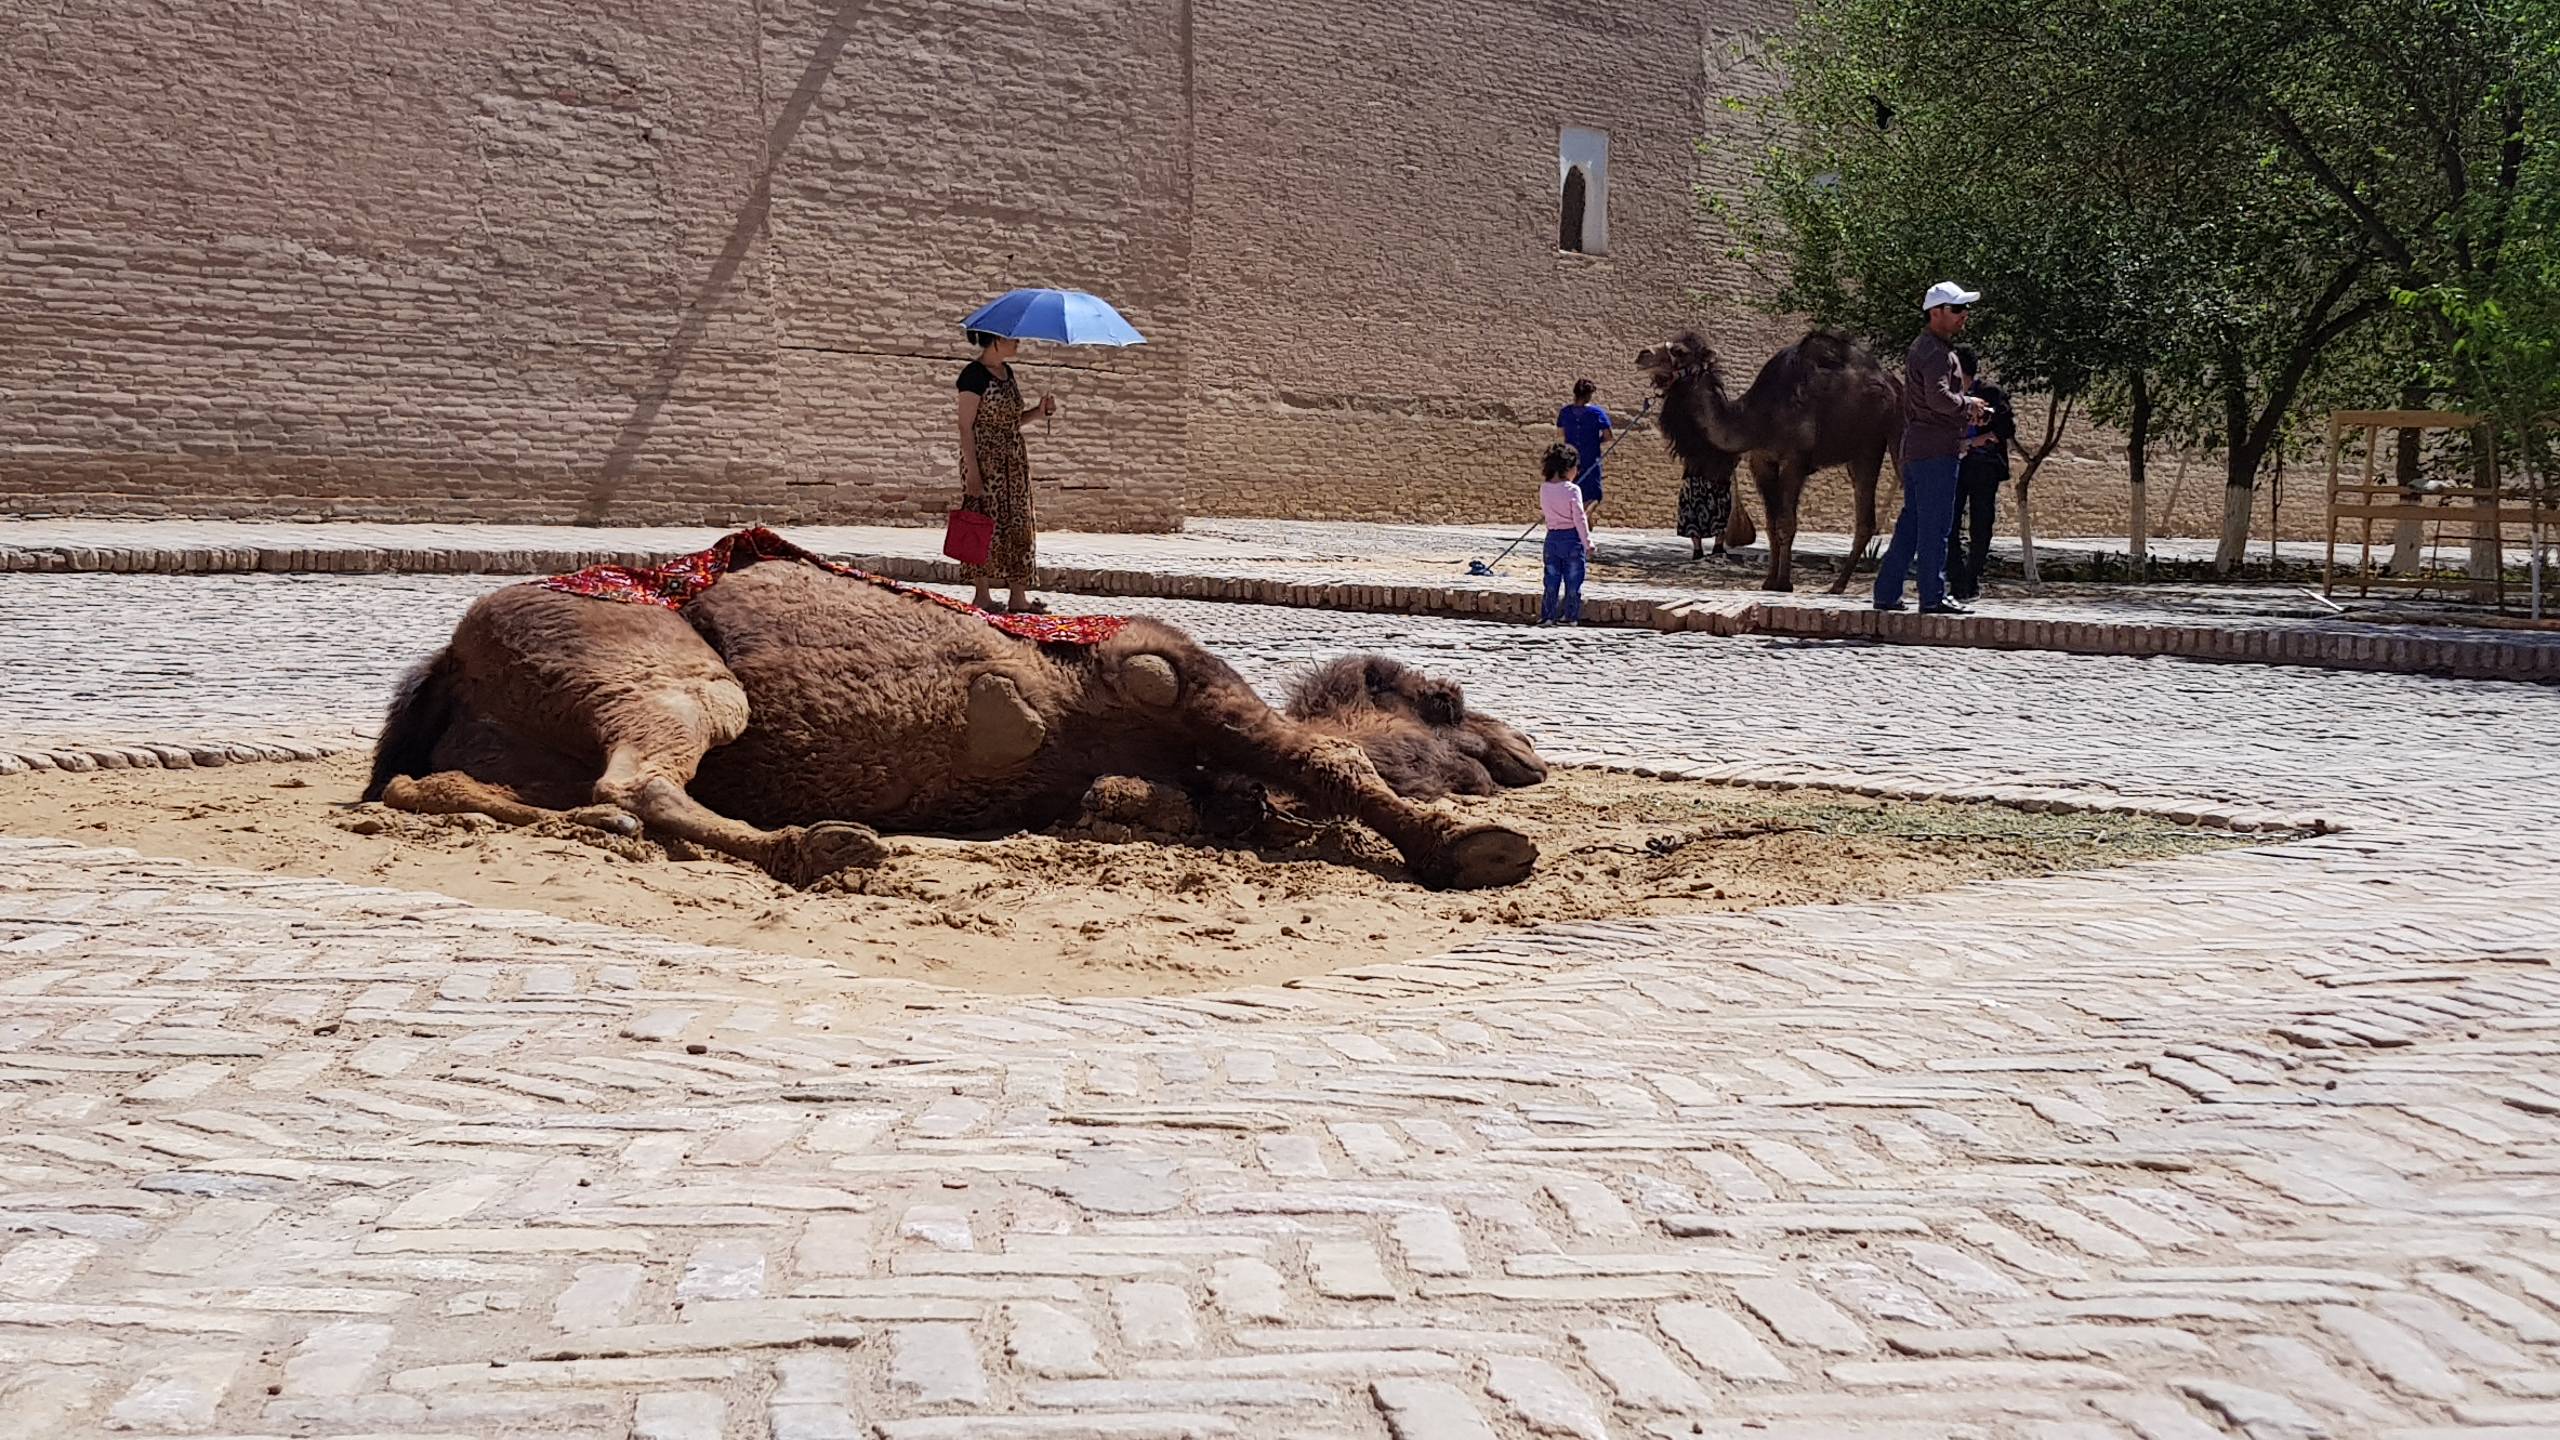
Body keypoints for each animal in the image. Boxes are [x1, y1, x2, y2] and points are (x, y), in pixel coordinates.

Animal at [1638, 330, 1904, 589]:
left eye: (1680, 351)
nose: (1643, 354)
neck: (1758, 417)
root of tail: (1891, 381)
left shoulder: (1795, 459)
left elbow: (1786, 522)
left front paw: (1784, 583)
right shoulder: (1761, 460)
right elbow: (1770, 523)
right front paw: (1769, 581)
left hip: (1875, 443)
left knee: (1870, 515)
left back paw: (1838, 585)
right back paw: (1839, 585)